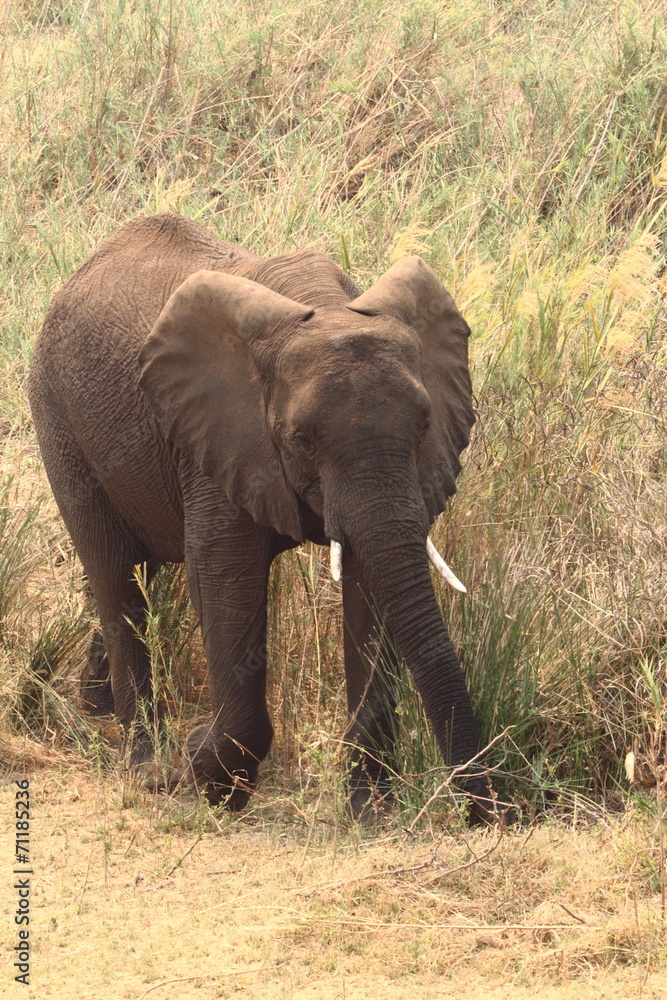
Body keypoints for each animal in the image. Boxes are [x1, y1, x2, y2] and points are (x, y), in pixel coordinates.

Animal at [28, 213, 491, 820]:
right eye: (300, 440)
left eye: (423, 426)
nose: (487, 814)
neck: (323, 306)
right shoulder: (219, 432)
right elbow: (225, 578)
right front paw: (209, 779)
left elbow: (372, 587)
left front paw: (370, 813)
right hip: (57, 414)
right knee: (115, 575)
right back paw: (146, 770)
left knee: (138, 575)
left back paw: (94, 710)